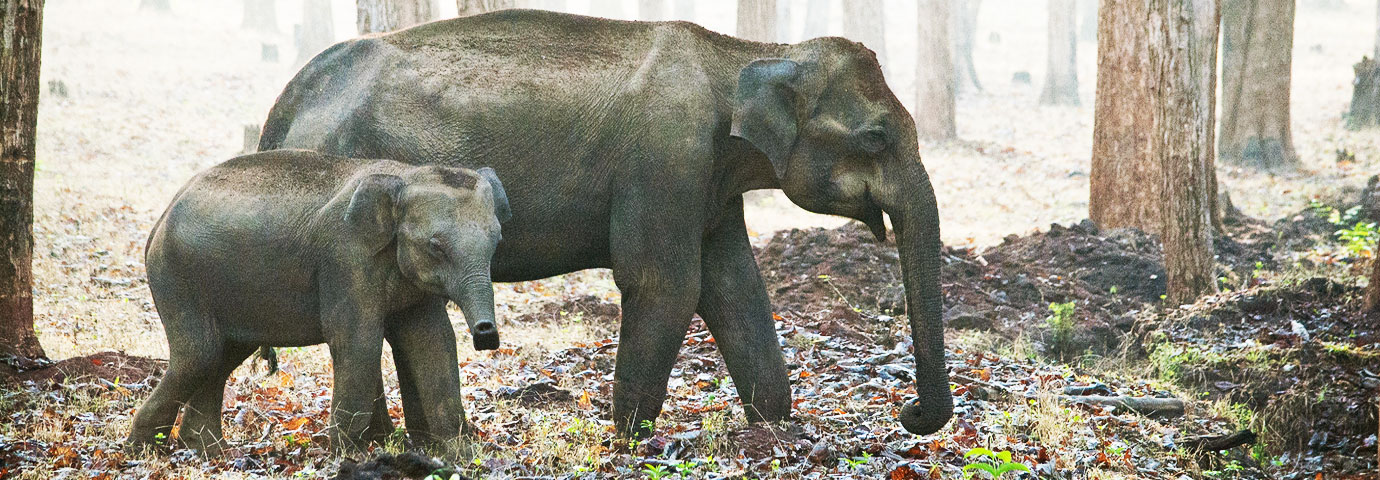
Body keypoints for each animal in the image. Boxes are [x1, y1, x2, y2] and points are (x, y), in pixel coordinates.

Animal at [130, 148, 513, 452]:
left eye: (497, 240)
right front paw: (348, 454)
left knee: (223, 354)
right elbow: (358, 342)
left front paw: (460, 454)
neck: (402, 175)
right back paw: (143, 448)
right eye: (436, 246)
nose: (486, 333)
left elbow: (434, 342)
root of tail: (159, 222)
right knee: (200, 354)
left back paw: (209, 451)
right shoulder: (345, 259)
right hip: (178, 277)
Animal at [256, 9, 949, 441]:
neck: (746, 57)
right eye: (876, 138)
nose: (912, 413)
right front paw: (630, 440)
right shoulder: (666, 159)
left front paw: (775, 427)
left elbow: (735, 287)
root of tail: (292, 95)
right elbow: (665, 285)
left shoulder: (707, 185)